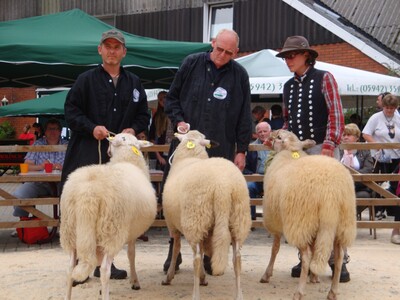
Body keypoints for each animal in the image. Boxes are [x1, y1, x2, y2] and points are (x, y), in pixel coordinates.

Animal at [60, 133, 157, 300]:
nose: (108, 150)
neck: (127, 159)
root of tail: (88, 192)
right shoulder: (131, 232)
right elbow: (131, 255)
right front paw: (135, 282)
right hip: (112, 230)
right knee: (105, 269)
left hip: (71, 231)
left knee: (69, 268)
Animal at [161, 131, 252, 300]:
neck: (189, 156)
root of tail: (223, 186)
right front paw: (203, 278)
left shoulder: (174, 226)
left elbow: (176, 248)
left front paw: (169, 277)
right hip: (238, 219)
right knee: (237, 259)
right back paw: (239, 295)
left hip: (196, 218)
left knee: (196, 259)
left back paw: (195, 295)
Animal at [260, 129, 356, 300]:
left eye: (279, 137)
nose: (270, 134)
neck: (289, 152)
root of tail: (330, 193)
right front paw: (314, 277)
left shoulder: (277, 221)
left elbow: (275, 248)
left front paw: (267, 274)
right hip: (341, 223)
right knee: (338, 258)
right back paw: (332, 292)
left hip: (301, 221)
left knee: (306, 257)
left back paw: (299, 292)